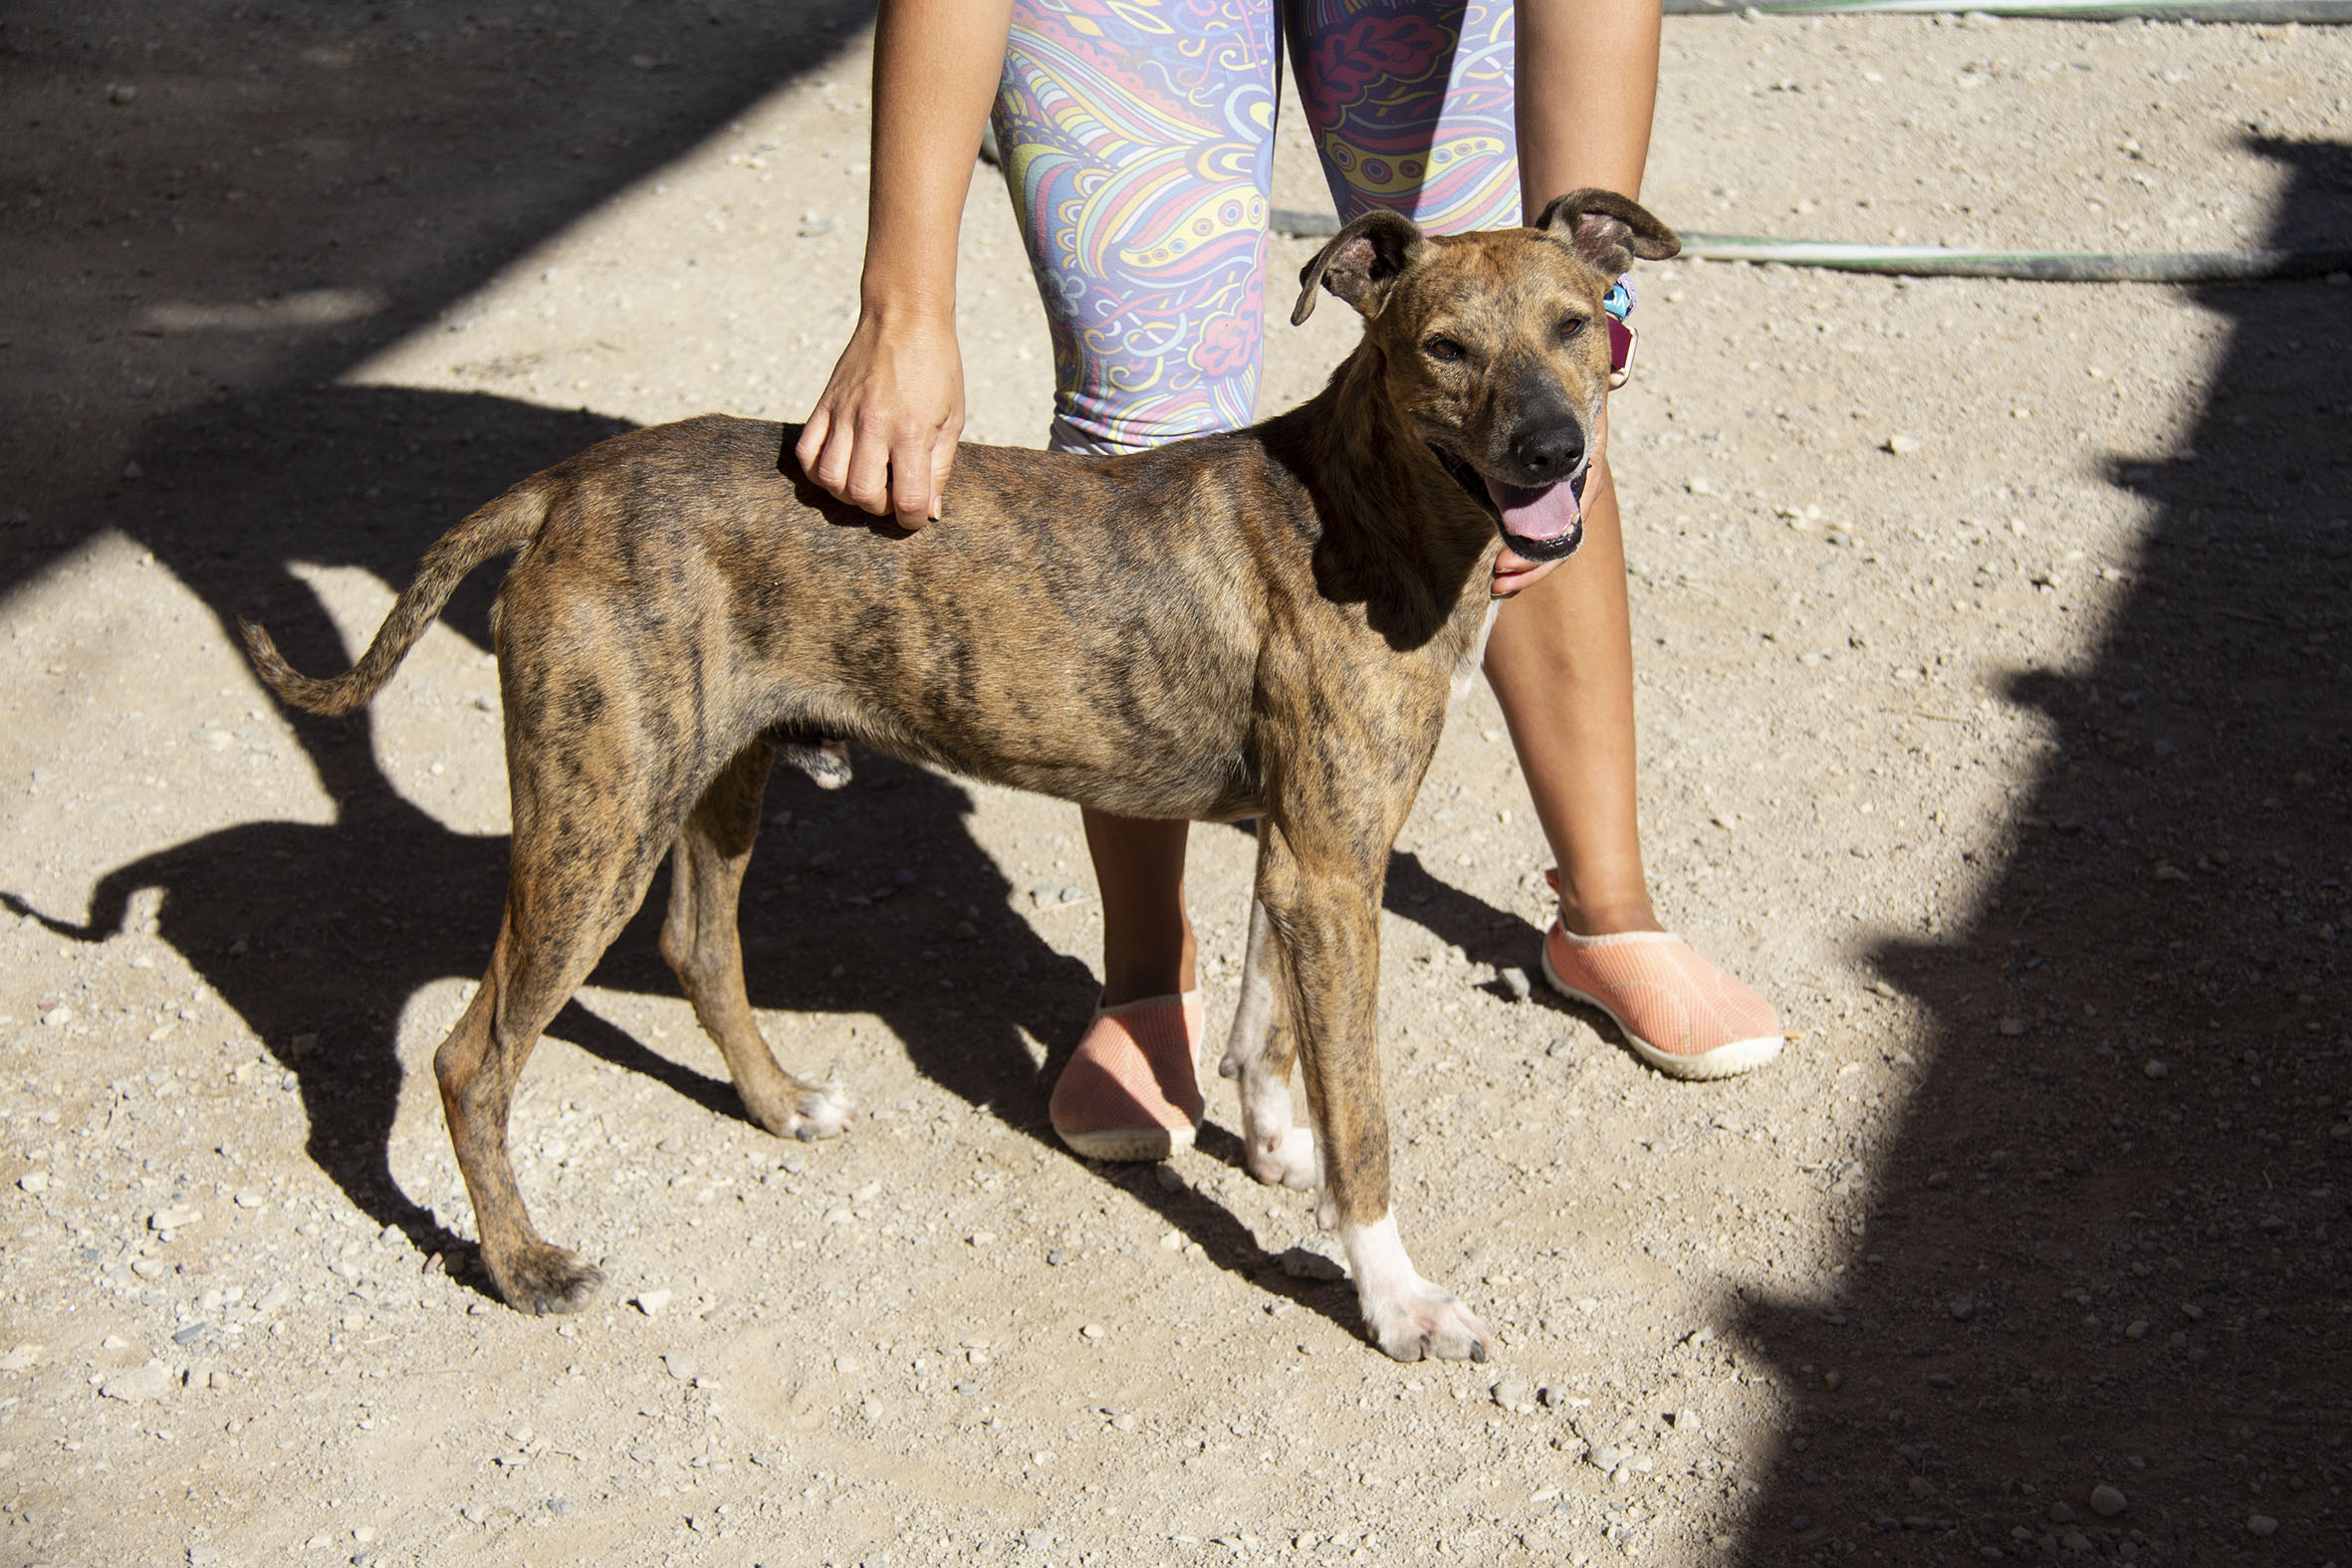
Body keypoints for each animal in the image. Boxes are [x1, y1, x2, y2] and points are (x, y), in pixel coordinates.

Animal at [240, 189, 1678, 1362]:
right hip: (598, 816)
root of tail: (565, 483)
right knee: (469, 1057)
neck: (1361, 504)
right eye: (1444, 347)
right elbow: (1367, 1116)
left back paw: (778, 1103)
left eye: (1572, 327)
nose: (1552, 452)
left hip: (712, 776)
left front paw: (1279, 1144)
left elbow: (1272, 1019)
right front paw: (1396, 1297)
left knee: (700, 947)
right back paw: (526, 1265)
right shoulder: (1329, 861)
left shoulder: (1313, 852)